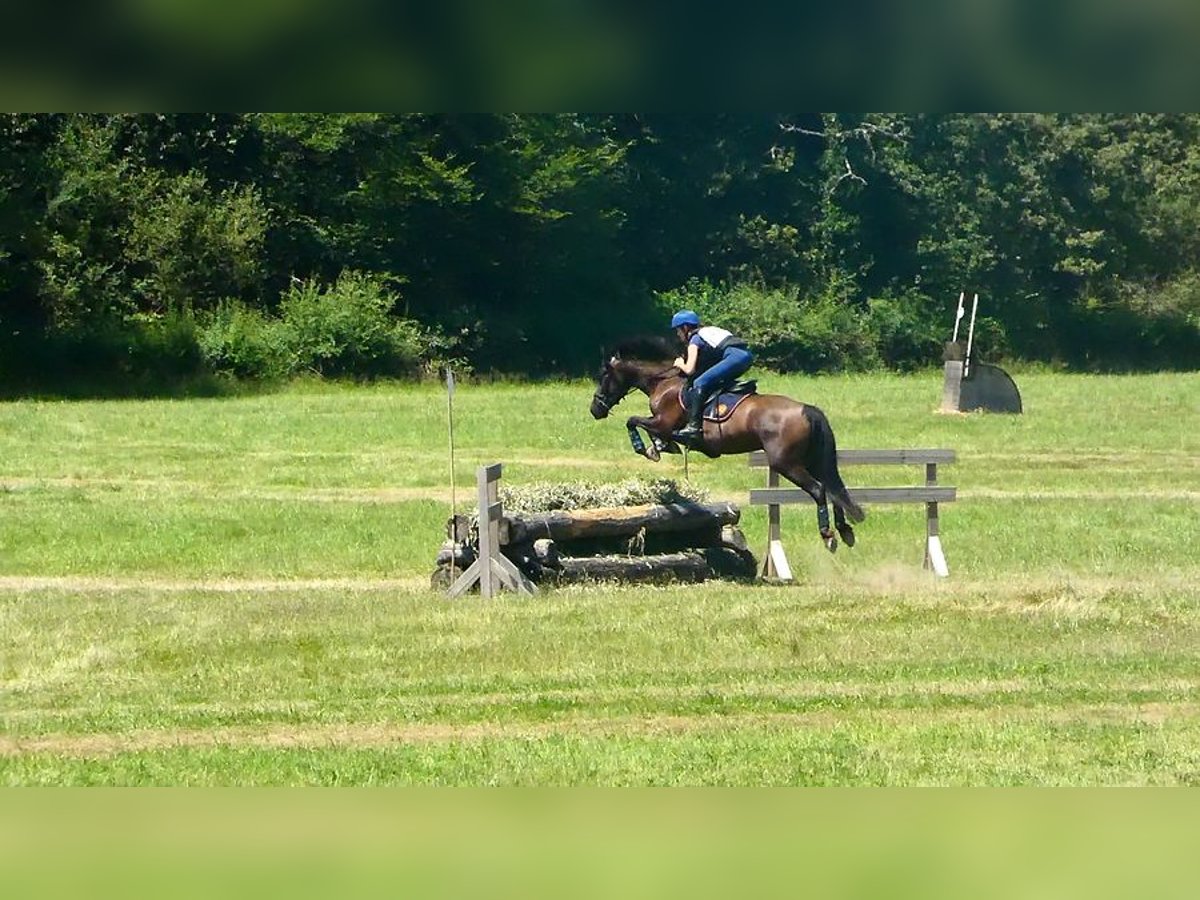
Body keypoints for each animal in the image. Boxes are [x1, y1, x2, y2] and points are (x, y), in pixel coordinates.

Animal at [588, 336, 864, 554]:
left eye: (604, 377)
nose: (595, 410)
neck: (663, 383)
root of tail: (807, 409)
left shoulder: (663, 422)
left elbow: (634, 421)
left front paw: (647, 448)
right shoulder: (664, 427)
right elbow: (652, 431)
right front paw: (660, 447)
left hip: (786, 463)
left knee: (819, 489)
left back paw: (828, 534)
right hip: (812, 460)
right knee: (833, 489)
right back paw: (845, 530)